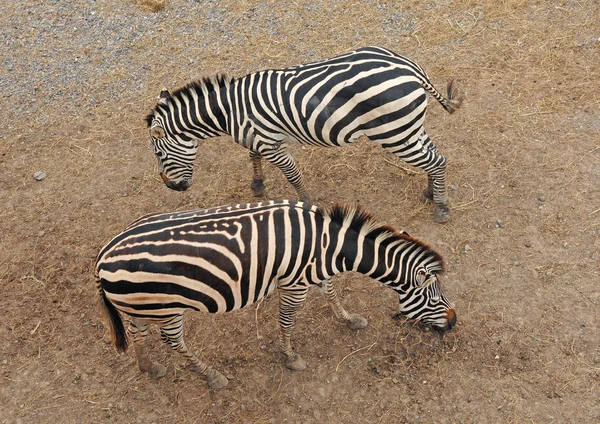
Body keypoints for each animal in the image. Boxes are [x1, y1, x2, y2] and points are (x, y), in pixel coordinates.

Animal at [97, 200, 454, 390]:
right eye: (435, 297)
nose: (453, 322)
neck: (330, 245)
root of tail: (102, 258)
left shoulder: (315, 273)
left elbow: (332, 292)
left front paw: (350, 319)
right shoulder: (294, 284)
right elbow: (287, 322)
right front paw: (291, 357)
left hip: (144, 306)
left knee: (138, 333)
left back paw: (148, 367)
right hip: (167, 308)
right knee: (172, 341)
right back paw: (212, 376)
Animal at [145, 46, 464, 224]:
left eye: (160, 154)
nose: (172, 187)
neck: (230, 111)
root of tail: (410, 68)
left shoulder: (271, 145)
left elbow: (293, 176)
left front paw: (308, 205)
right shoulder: (260, 138)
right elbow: (252, 156)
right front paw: (258, 185)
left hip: (394, 132)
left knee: (436, 161)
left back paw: (442, 207)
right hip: (406, 126)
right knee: (436, 157)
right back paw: (431, 192)